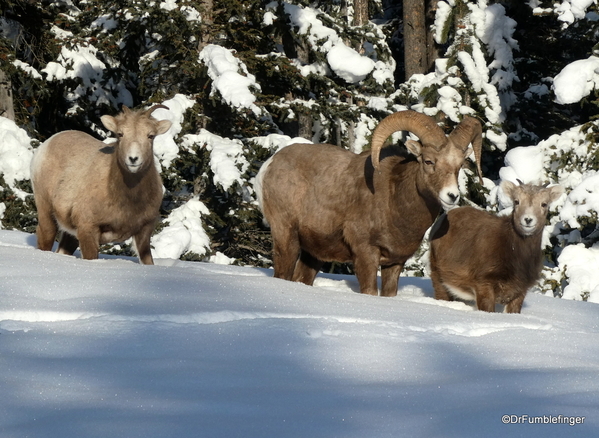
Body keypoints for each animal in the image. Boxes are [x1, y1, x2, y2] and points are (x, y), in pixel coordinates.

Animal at [31, 104, 171, 266]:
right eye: (120, 134)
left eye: (151, 135)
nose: (133, 159)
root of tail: (46, 144)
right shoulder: (88, 229)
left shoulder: (144, 231)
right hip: (46, 211)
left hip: (70, 233)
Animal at [255, 109, 486, 296]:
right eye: (428, 161)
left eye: (459, 166)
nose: (452, 196)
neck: (395, 204)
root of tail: (268, 166)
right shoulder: (365, 254)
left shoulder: (395, 263)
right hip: (287, 238)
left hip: (313, 254)